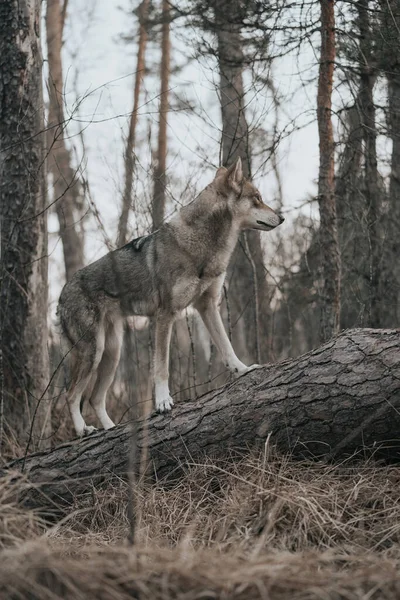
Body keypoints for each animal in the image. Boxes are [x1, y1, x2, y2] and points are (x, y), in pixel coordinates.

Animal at [58, 157, 284, 438]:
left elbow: (227, 347)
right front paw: (163, 402)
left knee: (94, 399)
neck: (204, 246)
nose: (282, 217)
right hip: (94, 352)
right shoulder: (166, 315)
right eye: (258, 198)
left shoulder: (207, 306)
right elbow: (162, 368)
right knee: (71, 395)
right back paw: (82, 430)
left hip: (112, 354)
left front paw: (243, 369)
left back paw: (110, 429)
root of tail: (61, 294)